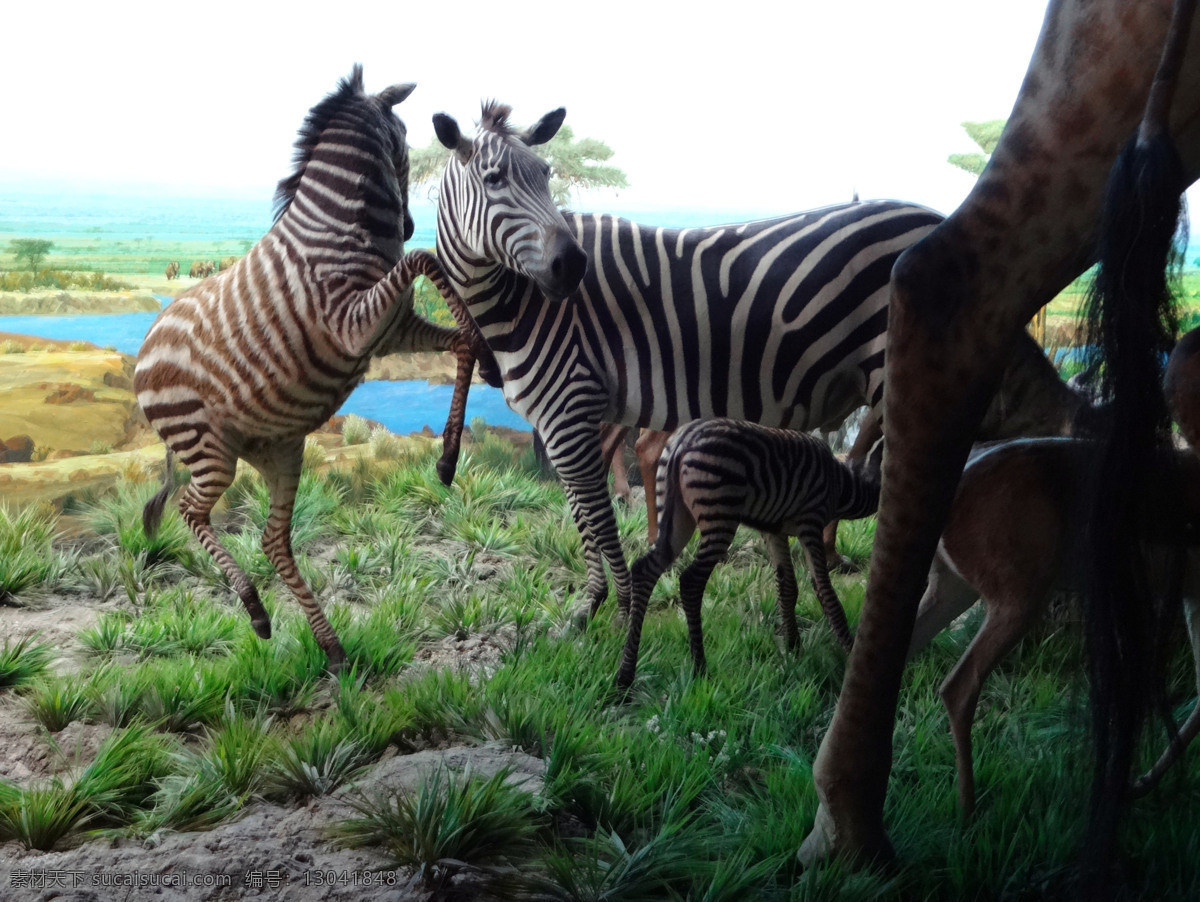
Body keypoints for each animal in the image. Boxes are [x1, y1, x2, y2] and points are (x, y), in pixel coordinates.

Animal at [132, 65, 487, 671]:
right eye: (401, 140)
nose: (410, 222)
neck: (339, 227)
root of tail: (142, 353)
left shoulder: (391, 330)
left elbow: (461, 339)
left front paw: (447, 457)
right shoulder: (353, 325)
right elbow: (426, 259)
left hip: (279, 447)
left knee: (274, 538)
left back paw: (332, 646)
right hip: (207, 447)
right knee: (191, 509)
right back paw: (254, 609)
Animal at [432, 100, 945, 618]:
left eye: (546, 173)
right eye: (494, 179)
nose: (573, 266)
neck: (522, 304)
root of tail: (938, 218)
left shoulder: (571, 409)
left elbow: (598, 520)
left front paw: (618, 609)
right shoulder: (560, 420)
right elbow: (582, 516)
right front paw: (592, 604)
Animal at [619, 417, 883, 690]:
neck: (841, 485)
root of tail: (683, 439)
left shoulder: (774, 530)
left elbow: (788, 587)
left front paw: (794, 648)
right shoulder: (810, 522)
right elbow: (825, 591)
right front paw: (851, 655)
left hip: (678, 518)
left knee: (644, 570)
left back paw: (626, 673)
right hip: (719, 514)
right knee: (691, 581)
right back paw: (700, 668)